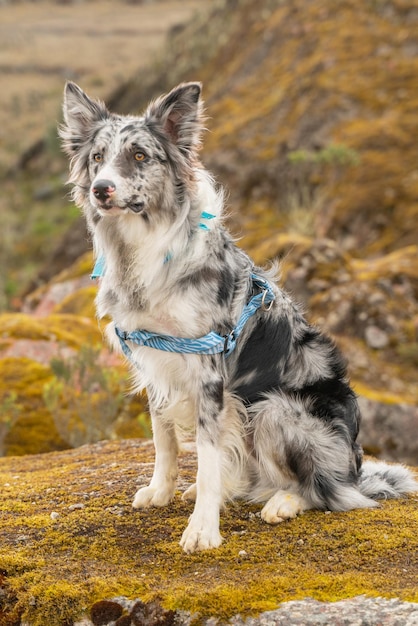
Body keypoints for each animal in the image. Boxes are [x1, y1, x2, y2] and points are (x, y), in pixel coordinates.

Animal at [60, 81, 416, 552]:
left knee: (327, 491)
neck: (144, 250)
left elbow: (208, 456)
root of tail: (354, 468)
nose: (101, 189)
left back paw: (284, 501)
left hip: (275, 409)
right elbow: (163, 437)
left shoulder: (209, 372)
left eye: (139, 156)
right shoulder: (155, 359)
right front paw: (161, 490)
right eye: (98, 157)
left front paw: (202, 528)